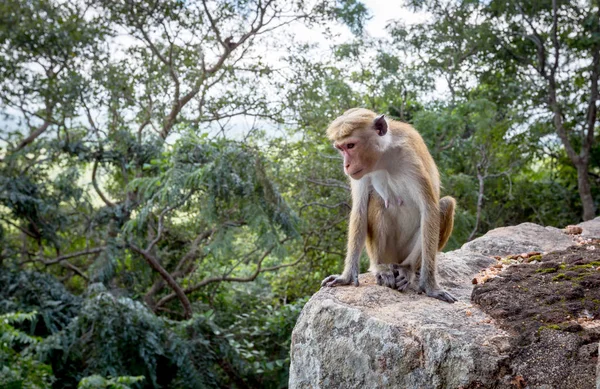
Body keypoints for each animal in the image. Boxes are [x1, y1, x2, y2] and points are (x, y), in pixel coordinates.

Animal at [322, 107, 458, 304]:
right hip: (387, 252)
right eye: (341, 148)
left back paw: (407, 269)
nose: (346, 165)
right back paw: (381, 267)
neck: (384, 155)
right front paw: (346, 276)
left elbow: (429, 209)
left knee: (445, 205)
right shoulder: (360, 173)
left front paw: (430, 286)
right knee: (377, 201)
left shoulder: (409, 155)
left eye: (351, 146)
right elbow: (360, 209)